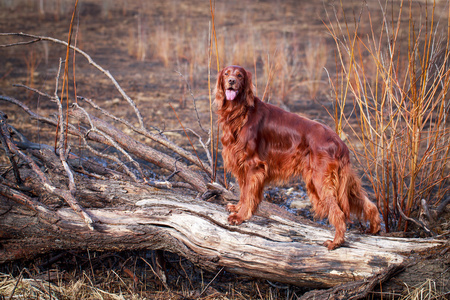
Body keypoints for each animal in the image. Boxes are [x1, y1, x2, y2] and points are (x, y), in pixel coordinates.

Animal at [214, 66, 380, 251]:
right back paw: (374, 228)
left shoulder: (253, 166)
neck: (240, 112)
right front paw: (237, 208)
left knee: (338, 213)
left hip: (320, 180)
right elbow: (243, 193)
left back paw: (336, 242)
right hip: (342, 180)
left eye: (240, 75)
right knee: (368, 203)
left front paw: (240, 216)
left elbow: (248, 194)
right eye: (226, 74)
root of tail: (340, 143)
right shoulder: (242, 166)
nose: (231, 82)